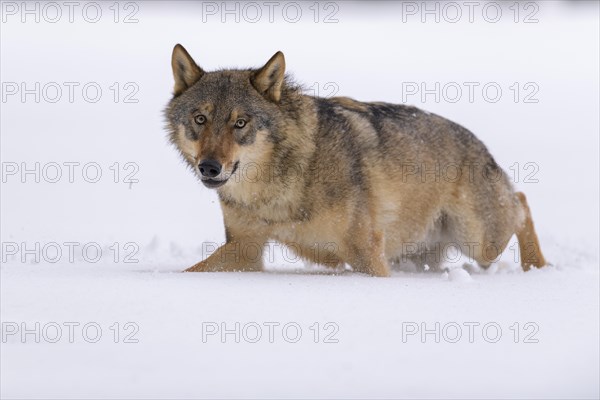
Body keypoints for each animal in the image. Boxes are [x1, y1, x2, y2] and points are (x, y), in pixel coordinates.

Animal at [164, 43, 548, 276]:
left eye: (240, 123)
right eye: (200, 119)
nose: (209, 167)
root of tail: (480, 144)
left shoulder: (366, 254)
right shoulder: (245, 250)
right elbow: (192, 272)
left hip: (480, 241)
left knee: (522, 202)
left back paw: (538, 268)